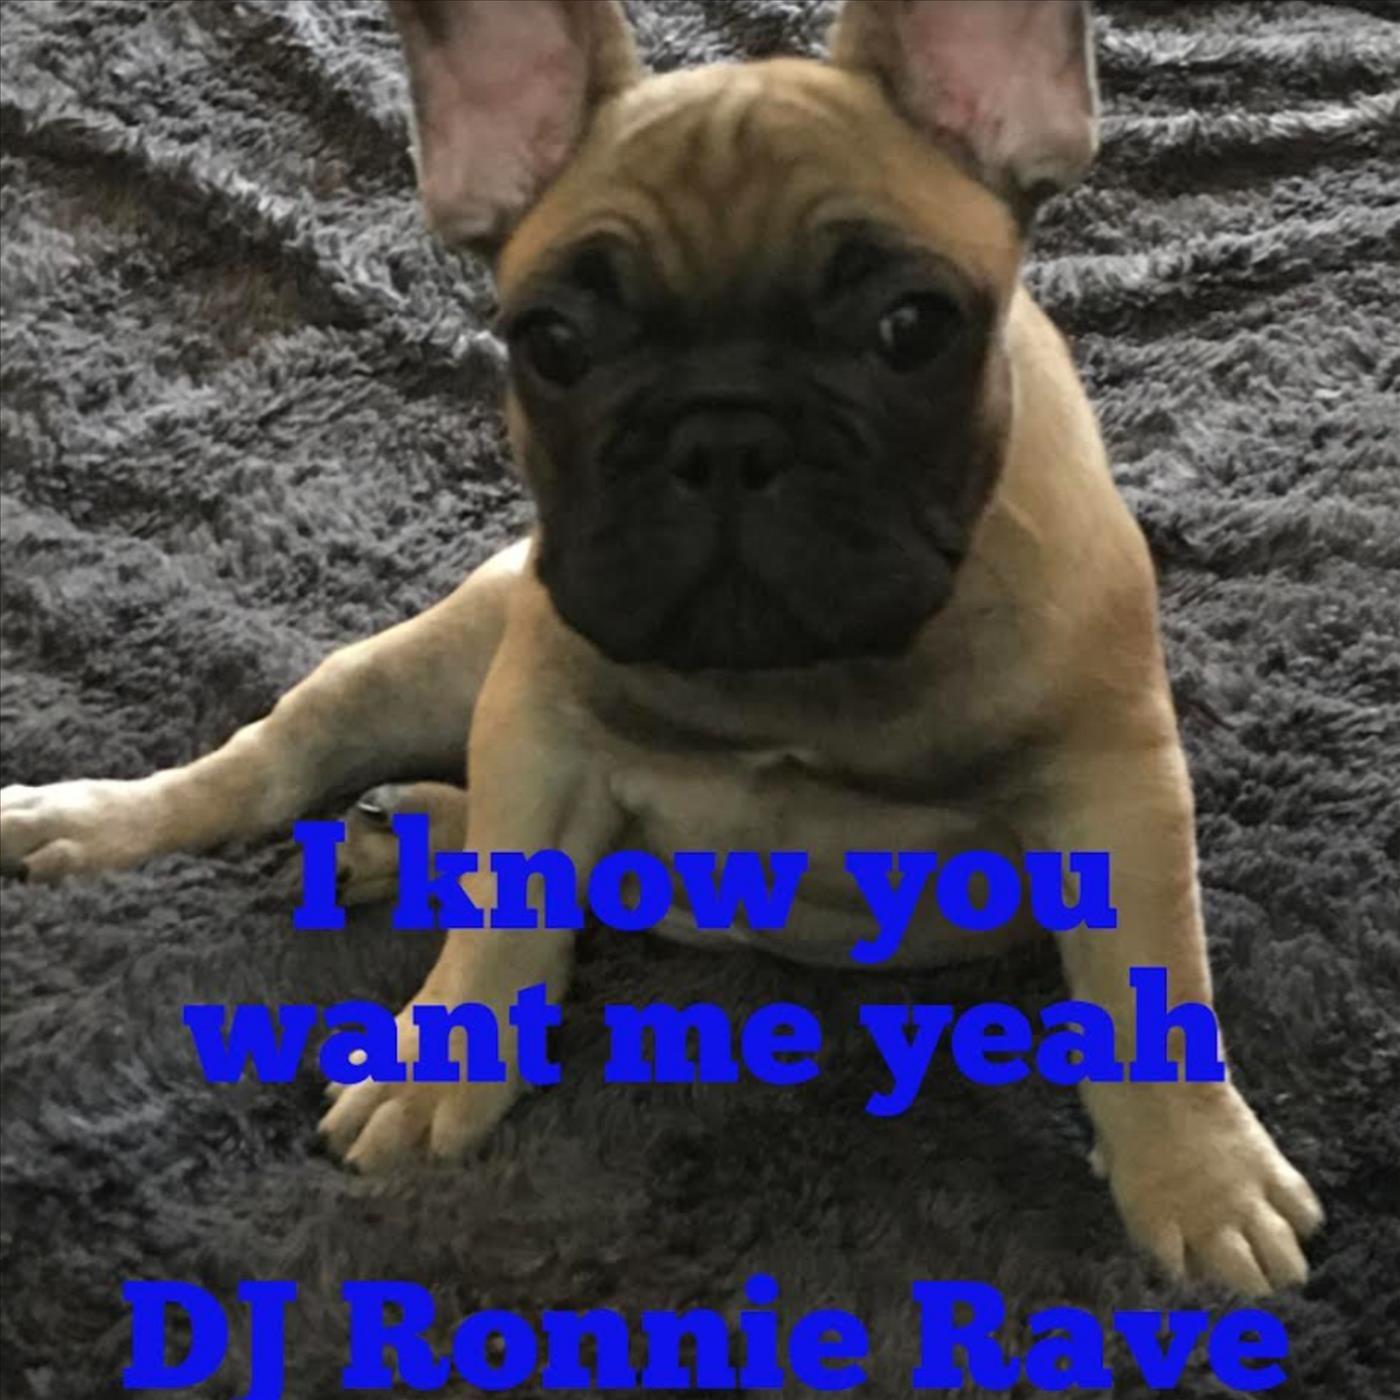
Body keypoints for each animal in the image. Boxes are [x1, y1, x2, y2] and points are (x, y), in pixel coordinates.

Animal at [0, 0, 1322, 1296]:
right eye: (551, 343)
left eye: (909, 328)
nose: (722, 434)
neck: (799, 679)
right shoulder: (541, 729)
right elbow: (504, 925)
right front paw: (442, 1071)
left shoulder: (1114, 785)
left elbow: (1154, 989)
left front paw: (1198, 1180)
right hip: (431, 662)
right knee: (274, 764)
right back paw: (112, 817)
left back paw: (407, 825)